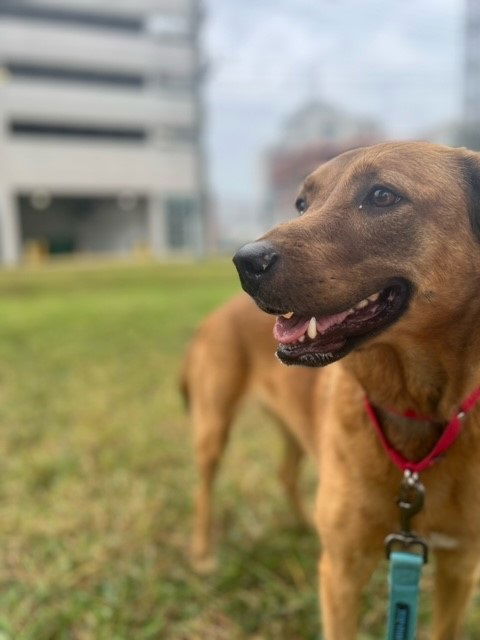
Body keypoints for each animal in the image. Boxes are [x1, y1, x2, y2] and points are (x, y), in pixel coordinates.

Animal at [182, 296, 320, 568]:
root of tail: (210, 319)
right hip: (214, 429)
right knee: (202, 491)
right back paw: (203, 554)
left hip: (295, 426)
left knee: (286, 475)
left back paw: (307, 524)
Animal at [232, 142, 480, 640]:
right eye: (301, 204)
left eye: (382, 195)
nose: (245, 261)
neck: (419, 411)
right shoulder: (342, 571)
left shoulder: (460, 568)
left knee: (285, 472)